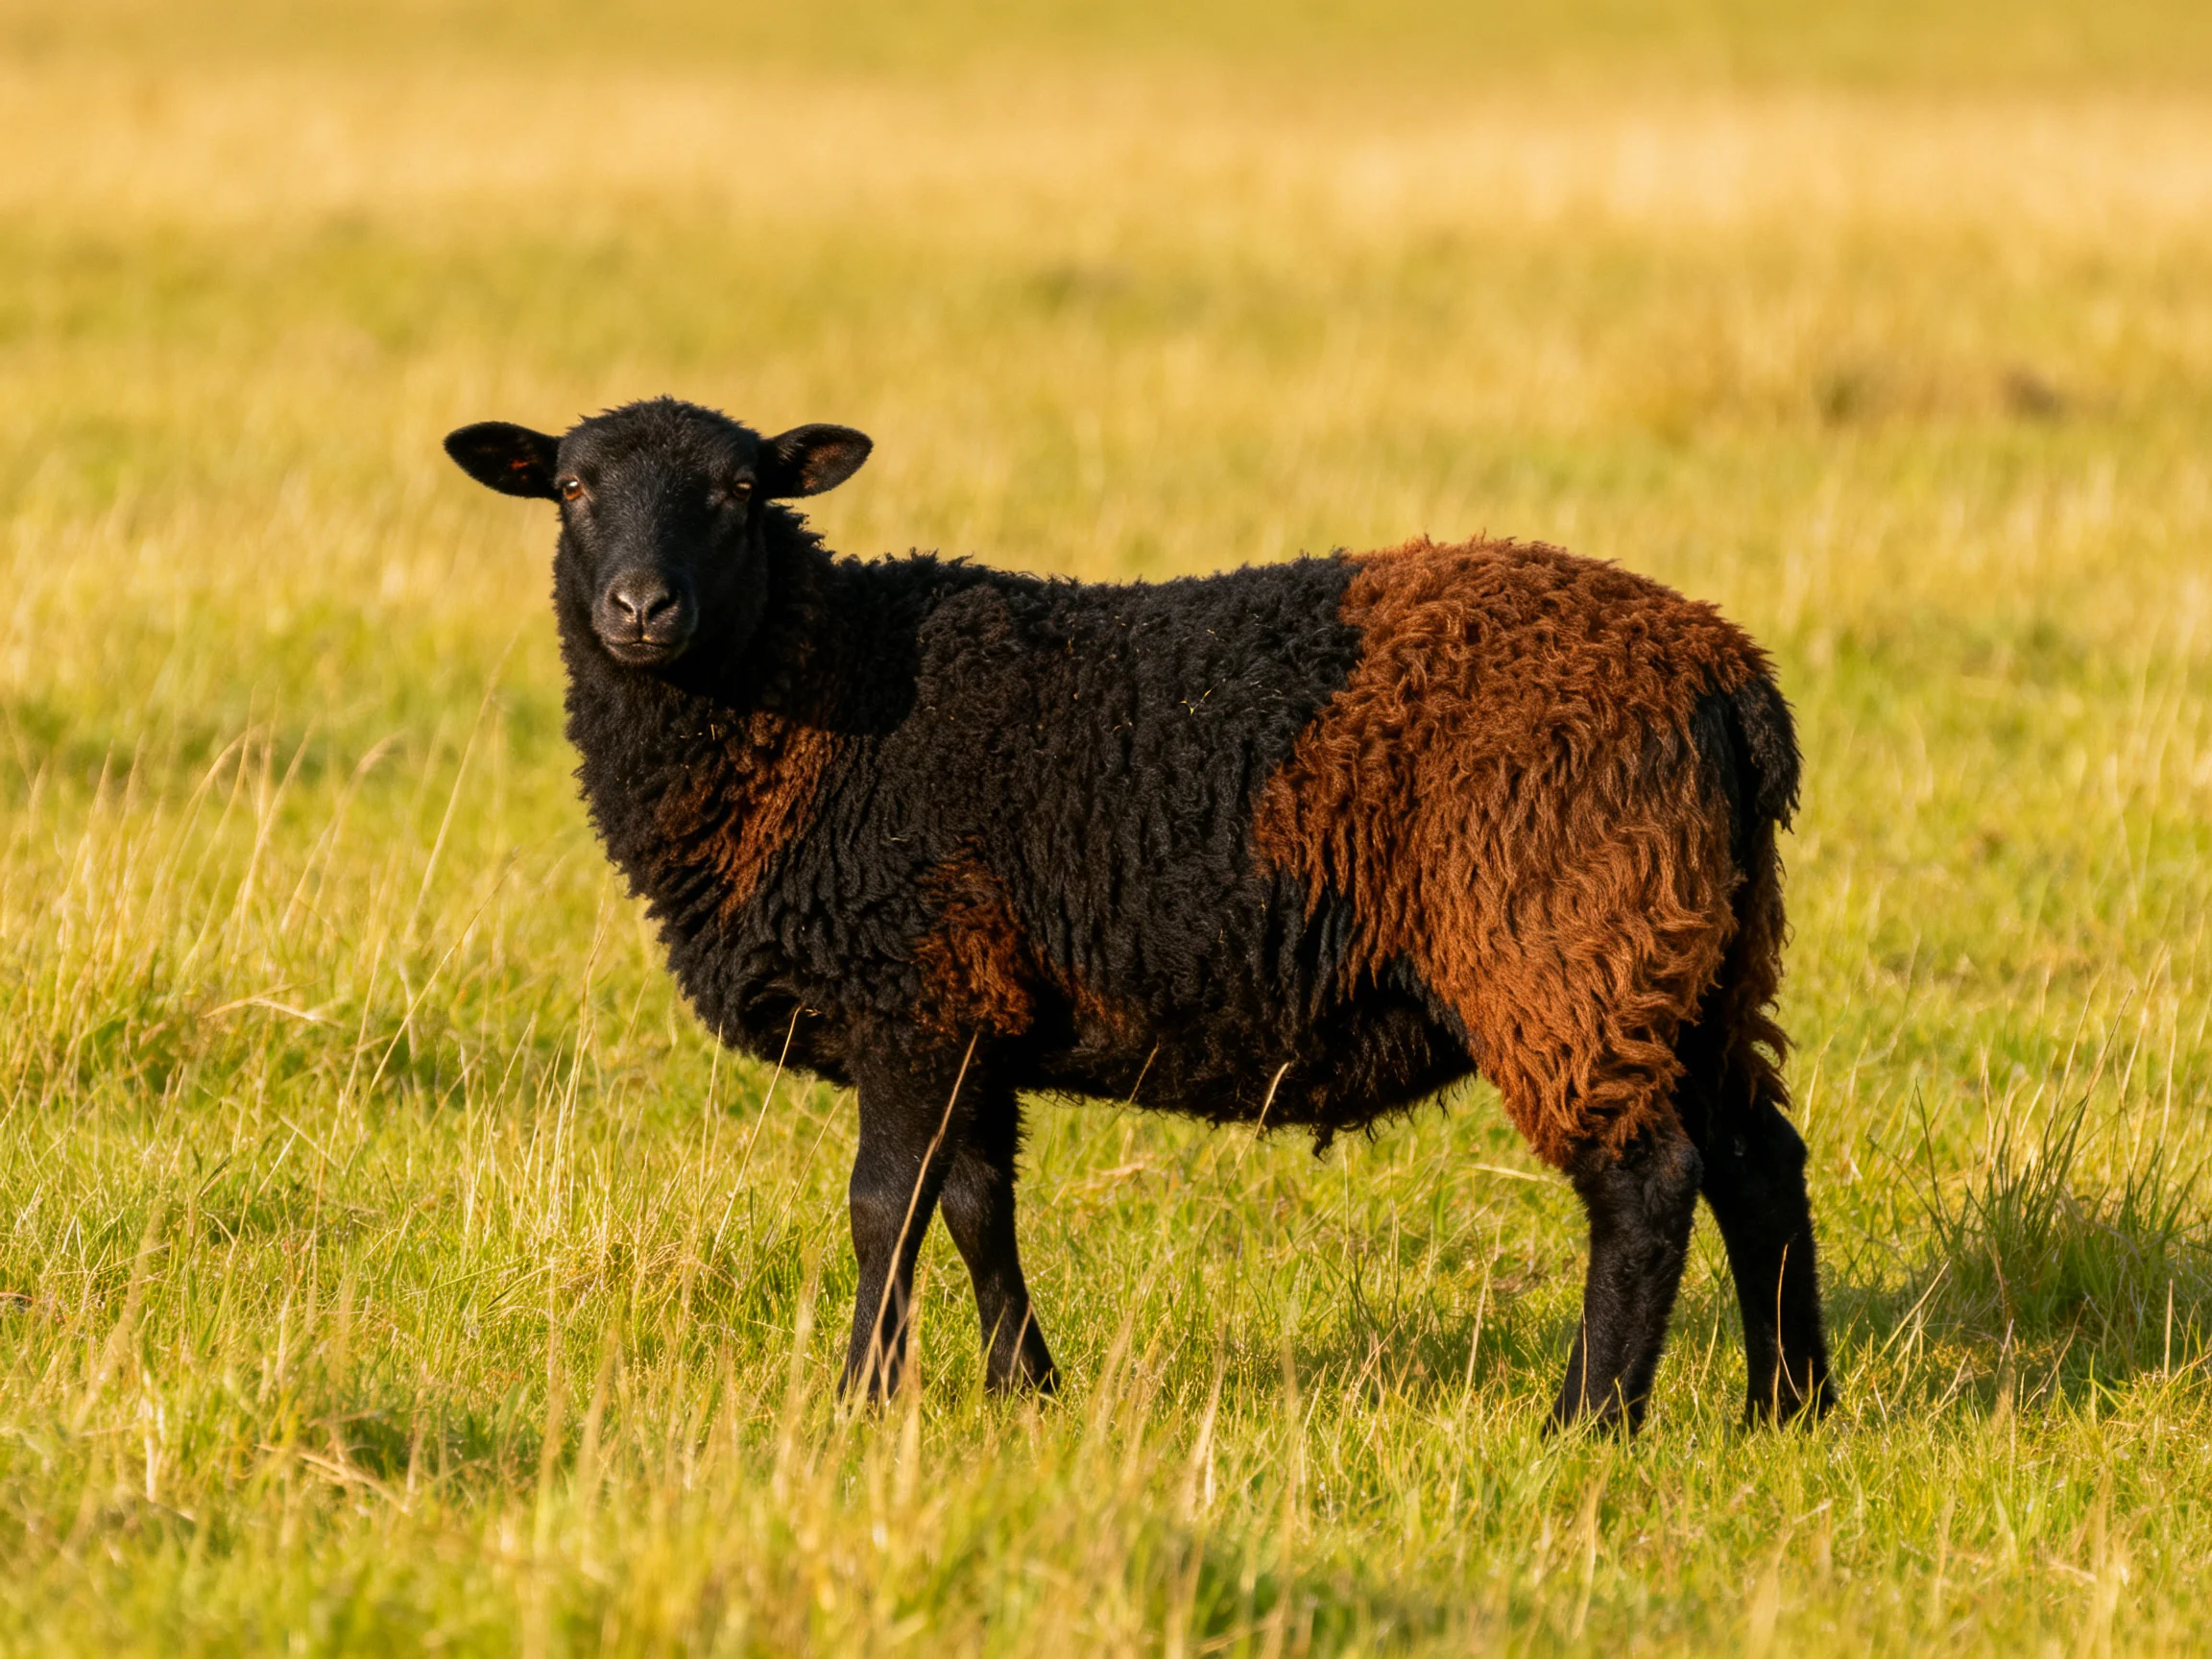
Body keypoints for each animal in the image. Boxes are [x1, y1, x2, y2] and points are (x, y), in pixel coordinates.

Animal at [443, 396, 1834, 1430]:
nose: (641, 609)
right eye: (572, 489)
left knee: (1648, 1185)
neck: (814, 695)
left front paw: (858, 1404)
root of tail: (1730, 677)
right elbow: (976, 1205)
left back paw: (1587, 1426)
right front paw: (1027, 1392)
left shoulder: (911, 993)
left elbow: (883, 1207)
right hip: (1700, 950)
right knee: (1760, 1165)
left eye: (743, 493)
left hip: (1566, 948)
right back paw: (1787, 1410)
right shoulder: (975, 1005)